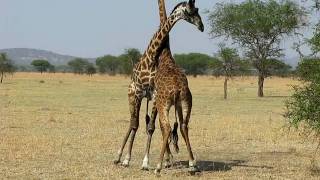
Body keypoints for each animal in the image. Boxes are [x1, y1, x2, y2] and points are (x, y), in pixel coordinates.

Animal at [114, 0, 204, 168]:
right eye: (192, 11)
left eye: (197, 10)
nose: (201, 26)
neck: (152, 56)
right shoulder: (138, 93)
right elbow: (136, 125)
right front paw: (127, 159)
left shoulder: (155, 95)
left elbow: (151, 127)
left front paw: (146, 162)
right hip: (131, 94)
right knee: (132, 122)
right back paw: (118, 156)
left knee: (159, 125)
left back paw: (168, 159)